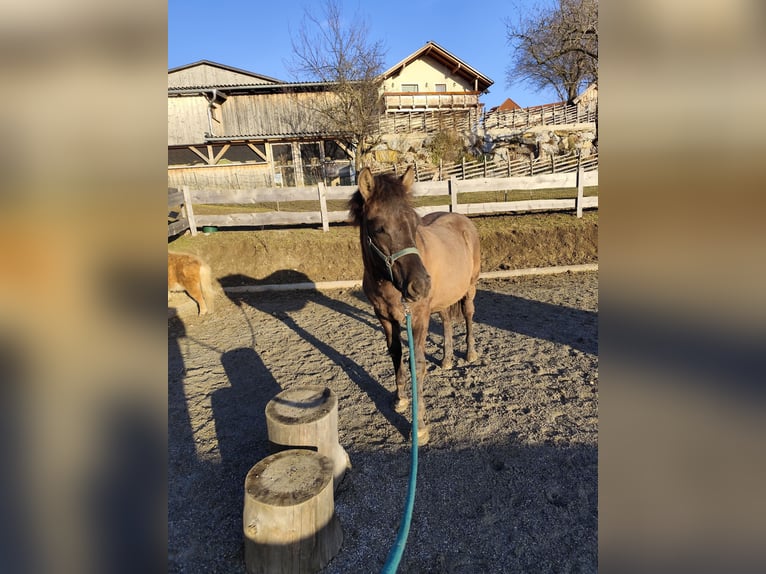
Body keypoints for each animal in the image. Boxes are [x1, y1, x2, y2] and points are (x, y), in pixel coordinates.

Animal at [348, 166, 480, 446]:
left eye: (413, 223)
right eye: (378, 228)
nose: (420, 285)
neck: (389, 284)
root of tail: (461, 220)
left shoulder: (418, 317)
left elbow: (416, 364)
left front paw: (418, 427)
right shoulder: (384, 317)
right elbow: (396, 355)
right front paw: (400, 399)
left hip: (470, 288)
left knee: (468, 314)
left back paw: (470, 353)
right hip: (442, 298)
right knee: (447, 320)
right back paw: (446, 360)